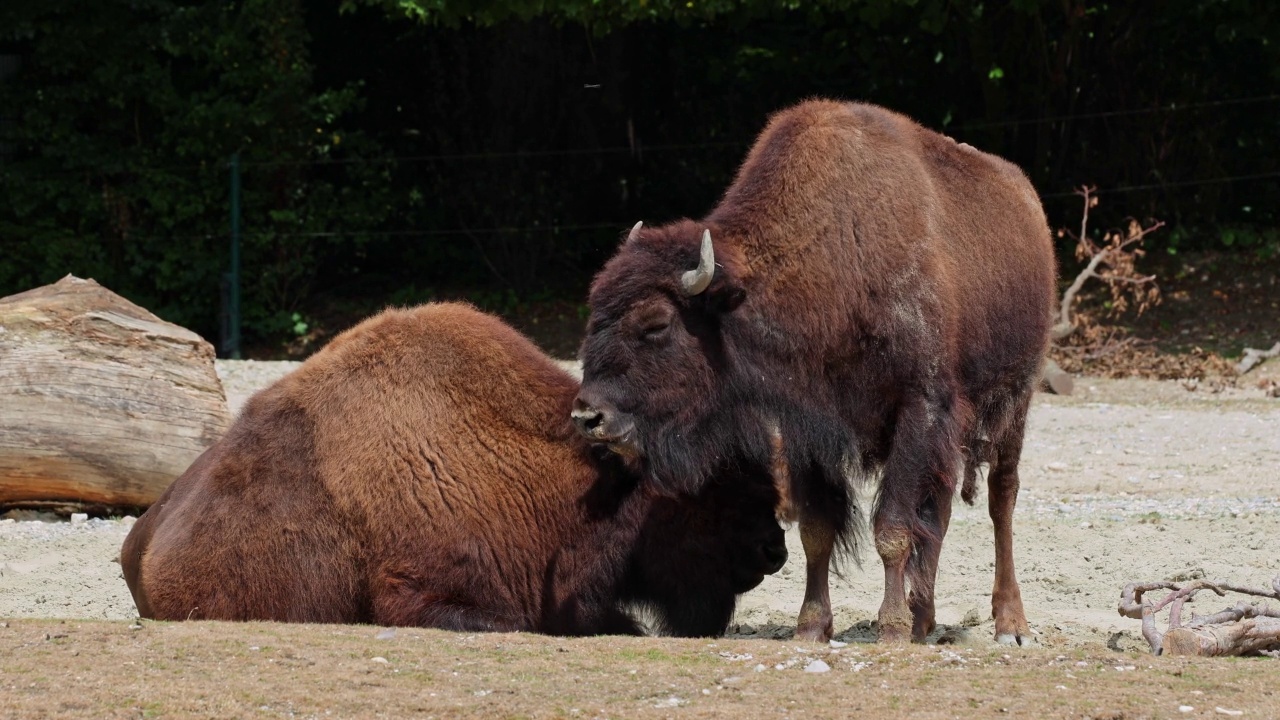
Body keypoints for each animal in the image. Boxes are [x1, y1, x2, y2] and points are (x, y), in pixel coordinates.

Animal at [576, 98, 1054, 640]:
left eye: (656, 324)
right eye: (595, 311)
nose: (588, 415)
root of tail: (1027, 203)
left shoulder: (920, 404)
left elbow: (892, 528)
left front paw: (890, 630)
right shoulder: (807, 423)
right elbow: (817, 531)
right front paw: (811, 628)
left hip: (1015, 402)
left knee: (1001, 499)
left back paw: (1009, 623)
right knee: (942, 509)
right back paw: (924, 617)